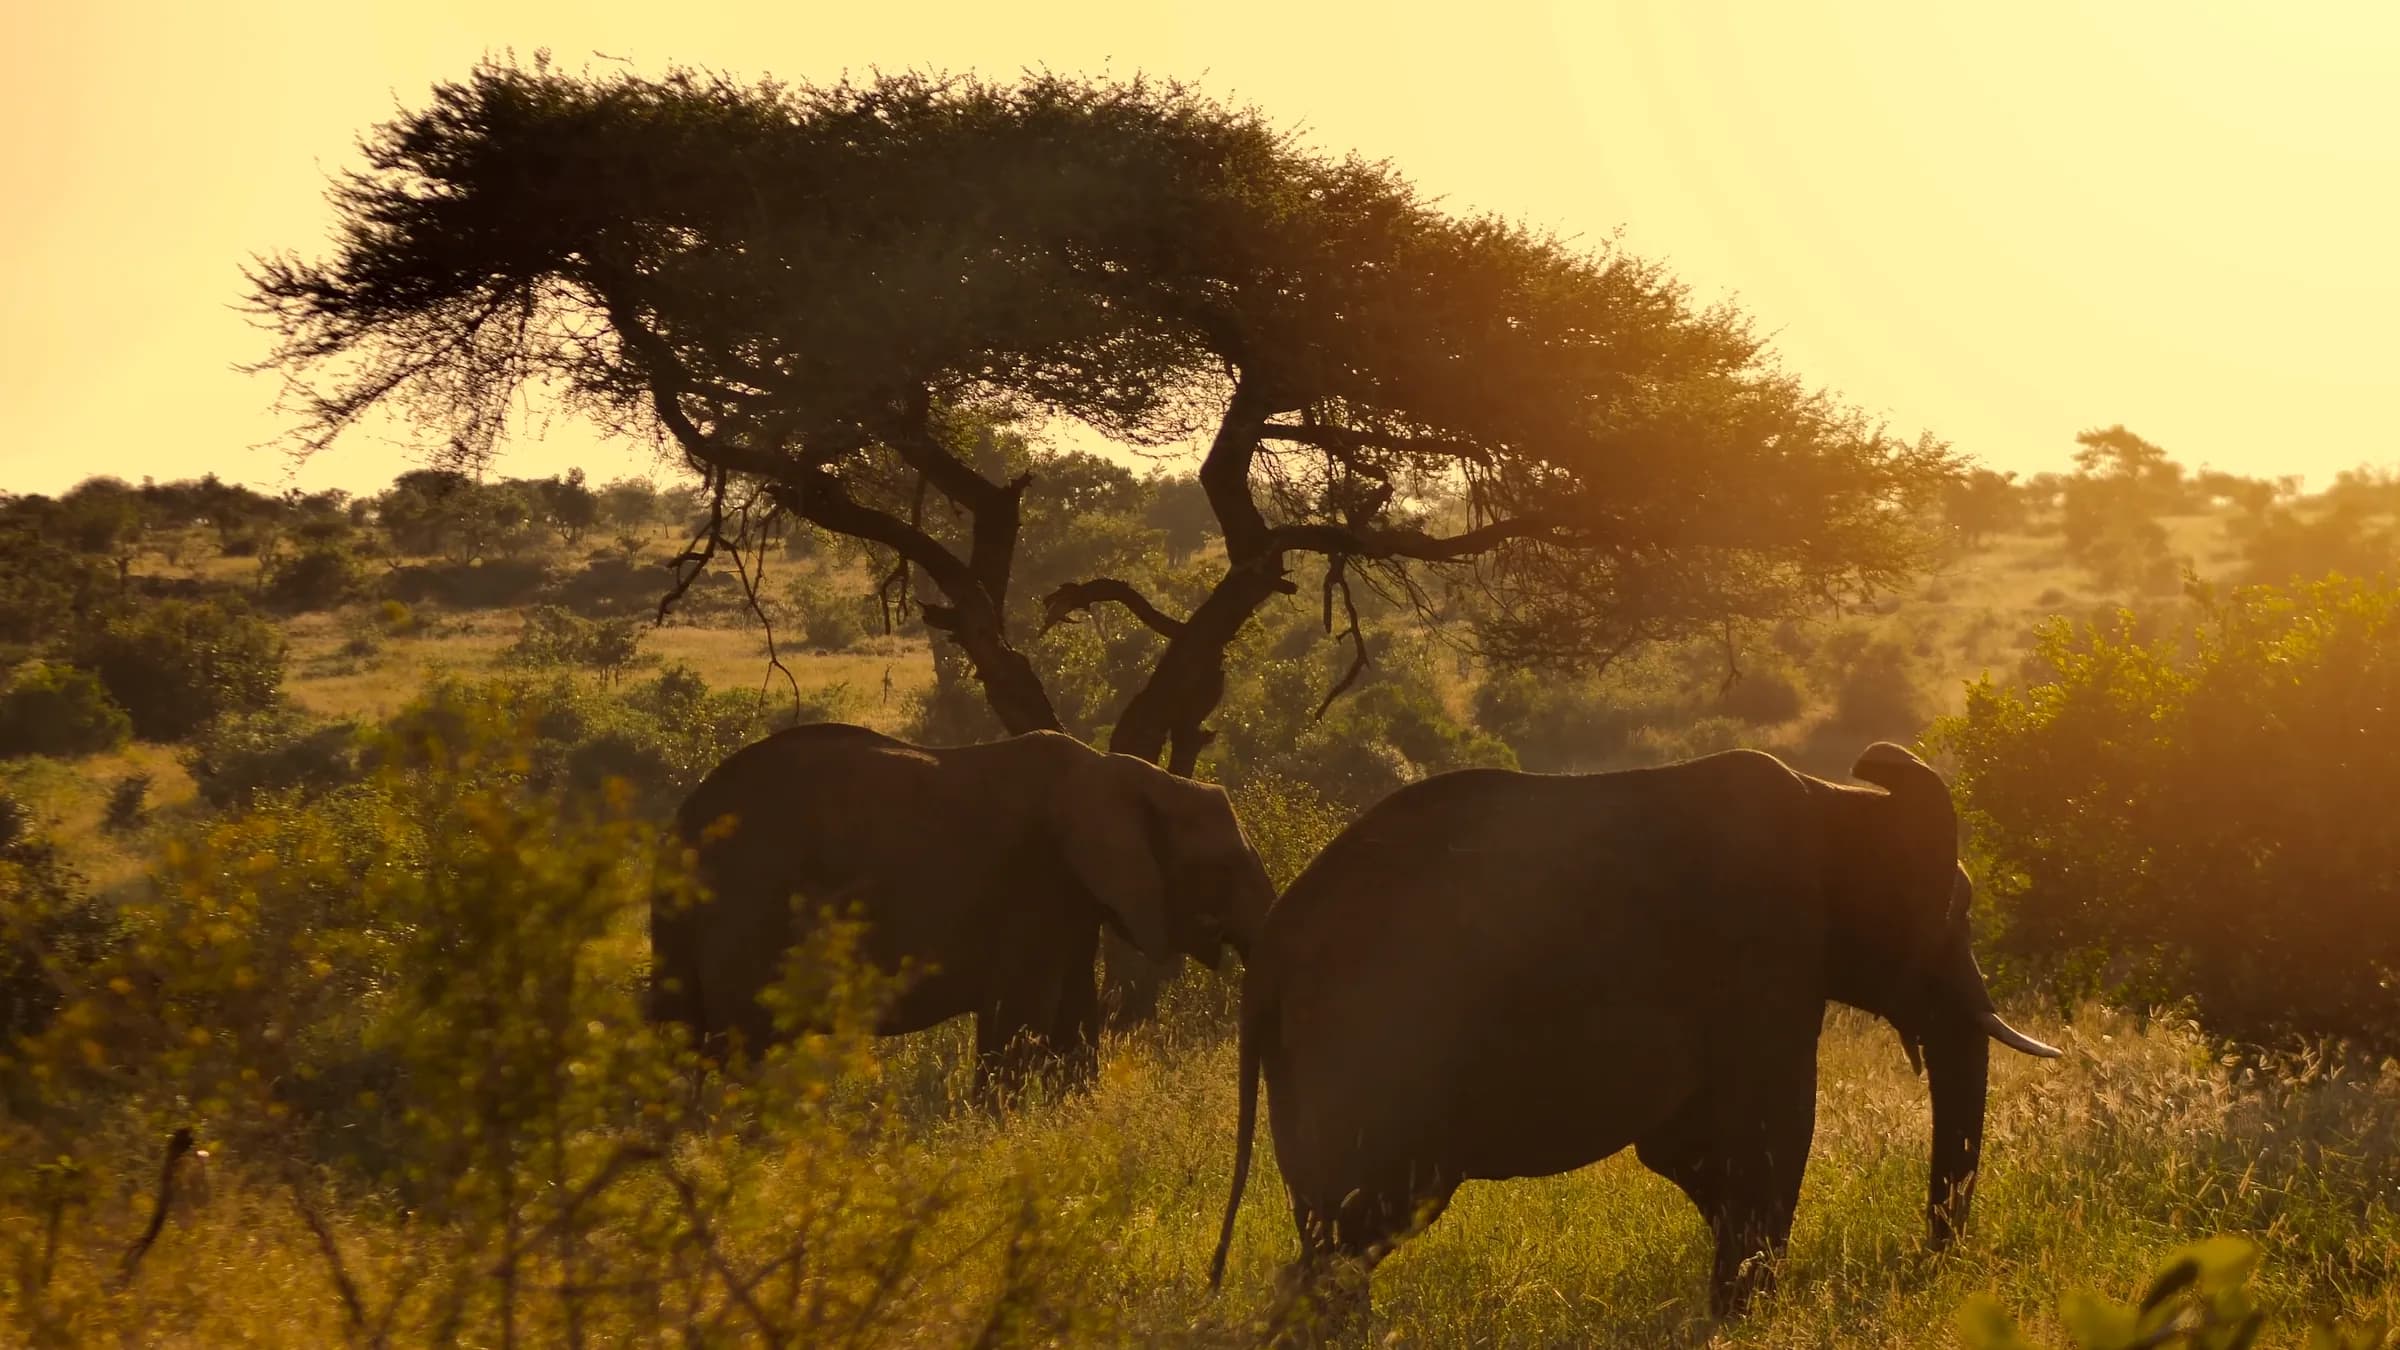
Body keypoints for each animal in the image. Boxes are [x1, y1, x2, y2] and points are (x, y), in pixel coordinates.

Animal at [650, 723, 1275, 1097]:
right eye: (1222, 868)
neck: (1126, 772)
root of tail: (683, 820)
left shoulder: (1071, 898)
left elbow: (1068, 1012)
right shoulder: (1034, 882)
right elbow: (1021, 1015)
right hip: (750, 905)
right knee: (741, 1044)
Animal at [1209, 741, 2060, 1324]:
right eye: (1958, 914)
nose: (1932, 1262)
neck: (1838, 801)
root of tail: (1270, 956)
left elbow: (1691, 1148)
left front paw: (1732, 1310)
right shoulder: (1766, 950)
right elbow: (1771, 1131)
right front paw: (1747, 1316)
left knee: (1332, 1234)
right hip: (1372, 1039)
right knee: (1365, 1222)